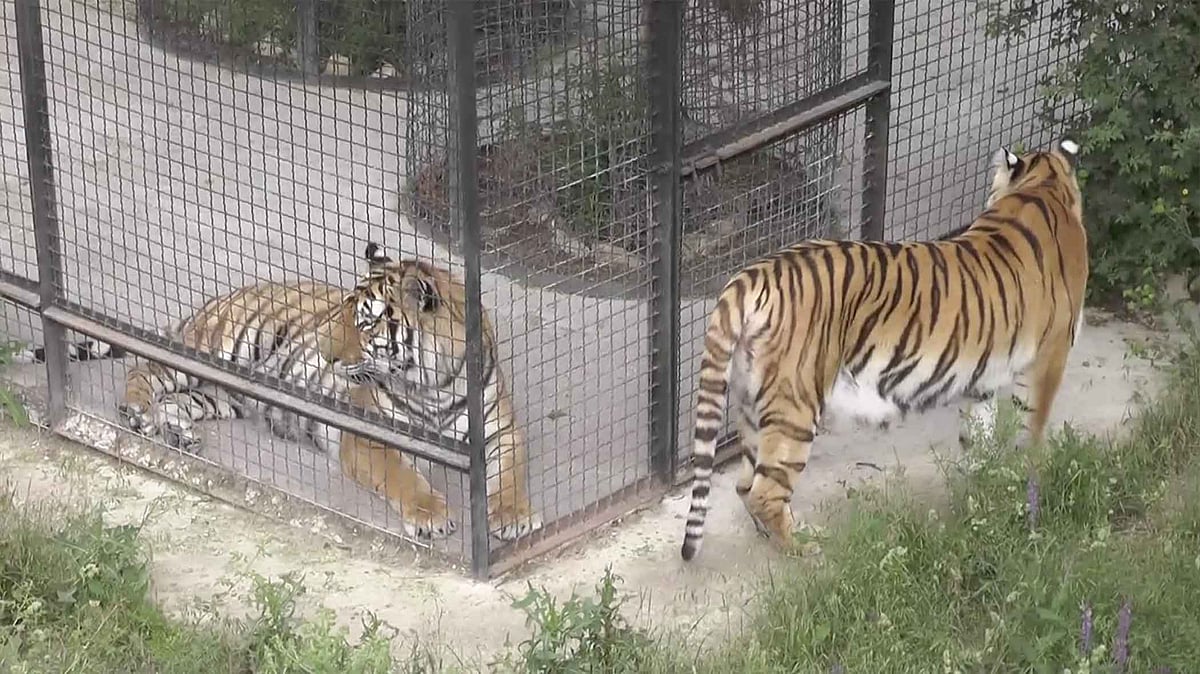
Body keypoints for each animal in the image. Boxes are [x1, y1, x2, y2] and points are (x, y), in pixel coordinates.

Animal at [16, 243, 542, 543]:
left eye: (365, 323)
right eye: (343, 313)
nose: (330, 354)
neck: (433, 384)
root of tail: (214, 300)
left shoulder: (501, 432)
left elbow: (512, 475)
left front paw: (514, 516)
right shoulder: (368, 437)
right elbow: (403, 477)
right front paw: (431, 515)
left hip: (223, 395)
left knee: (182, 401)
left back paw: (177, 433)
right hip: (214, 349)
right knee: (144, 370)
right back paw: (137, 412)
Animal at [679, 139, 1087, 562]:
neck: (1044, 186)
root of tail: (752, 275)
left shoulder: (985, 380)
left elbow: (979, 436)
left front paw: (983, 485)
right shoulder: (1052, 356)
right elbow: (1035, 425)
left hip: (750, 400)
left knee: (745, 483)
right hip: (796, 403)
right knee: (765, 491)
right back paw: (807, 546)